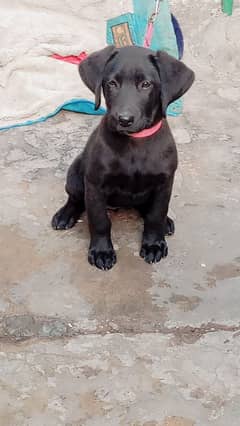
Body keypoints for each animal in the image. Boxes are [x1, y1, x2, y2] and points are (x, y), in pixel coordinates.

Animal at [51, 45, 194, 270]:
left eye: (146, 84)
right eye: (112, 83)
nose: (124, 119)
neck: (134, 143)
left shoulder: (165, 183)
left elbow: (155, 215)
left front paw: (154, 244)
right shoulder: (94, 185)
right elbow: (100, 220)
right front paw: (102, 251)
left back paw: (166, 223)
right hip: (75, 173)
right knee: (76, 198)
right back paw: (65, 215)